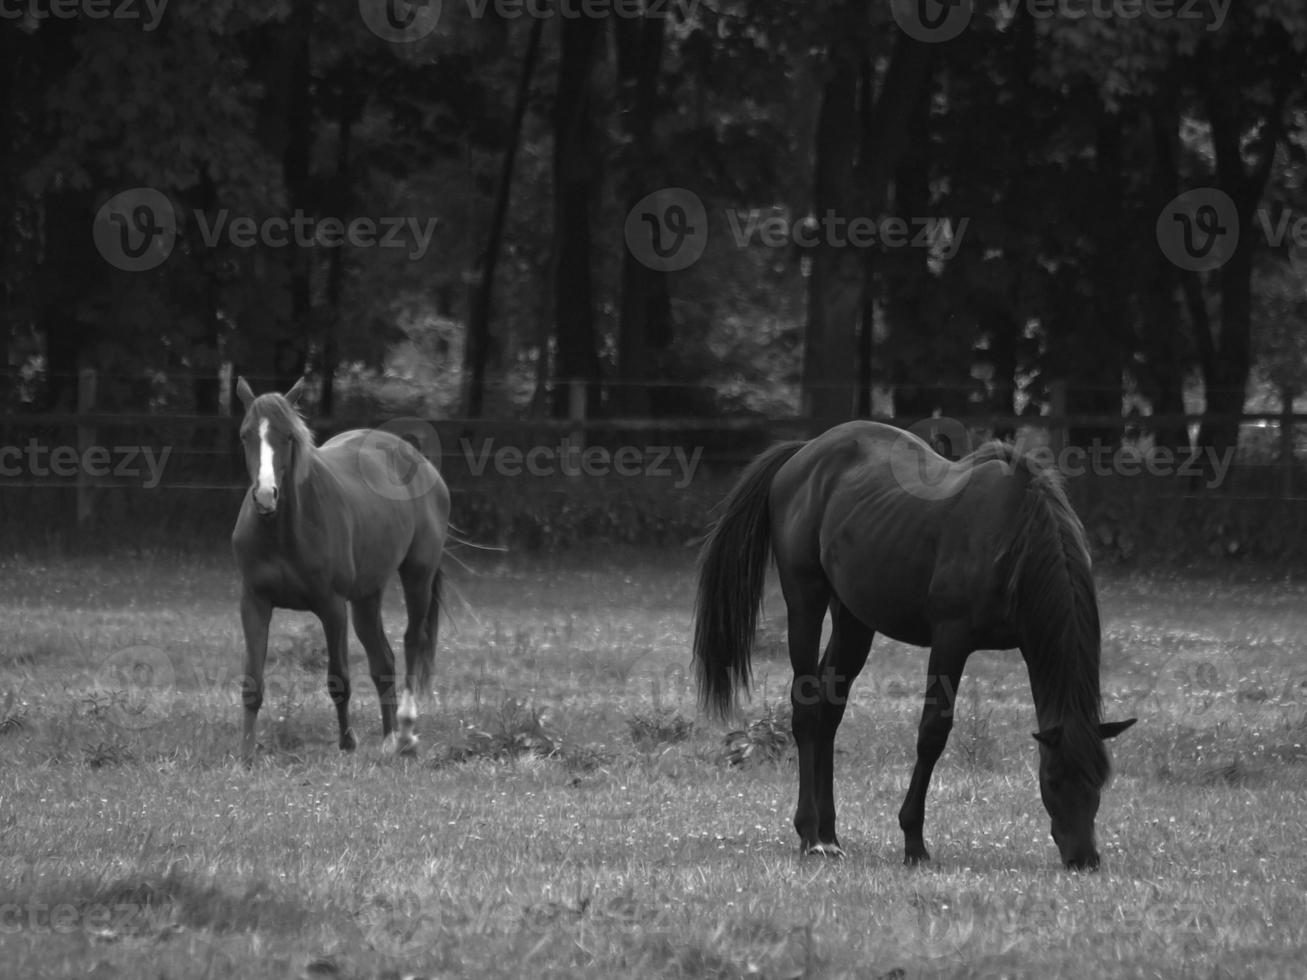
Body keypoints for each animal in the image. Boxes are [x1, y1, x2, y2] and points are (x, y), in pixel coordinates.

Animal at [235, 378, 454, 763]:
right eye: (246, 434)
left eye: (287, 436)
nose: (264, 496)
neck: (284, 532)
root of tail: (421, 464)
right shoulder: (255, 603)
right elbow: (253, 682)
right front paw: (247, 755)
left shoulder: (331, 607)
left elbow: (339, 679)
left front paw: (347, 743)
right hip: (367, 597)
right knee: (383, 661)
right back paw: (388, 739)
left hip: (418, 575)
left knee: (413, 641)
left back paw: (405, 733)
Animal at [695, 423, 1134, 872]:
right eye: (1053, 778)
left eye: (1100, 778)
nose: (1084, 858)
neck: (1016, 535)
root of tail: (804, 454)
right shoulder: (951, 639)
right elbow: (932, 734)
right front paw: (914, 842)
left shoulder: (1032, 644)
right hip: (806, 600)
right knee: (805, 708)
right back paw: (809, 835)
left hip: (854, 617)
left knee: (829, 711)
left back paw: (830, 835)